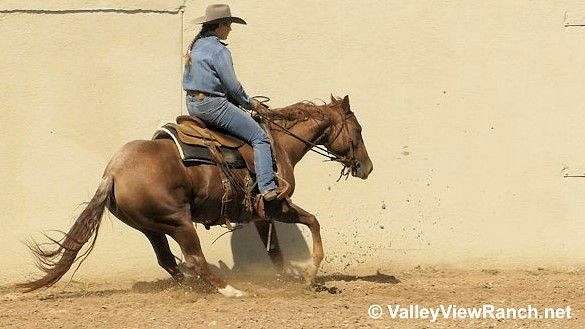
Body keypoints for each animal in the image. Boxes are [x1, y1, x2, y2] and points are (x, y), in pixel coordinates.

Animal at [21, 93, 374, 296]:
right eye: (358, 130)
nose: (366, 166)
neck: (277, 143)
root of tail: (114, 172)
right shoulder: (274, 206)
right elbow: (312, 222)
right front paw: (309, 274)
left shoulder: (261, 214)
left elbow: (277, 248)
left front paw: (291, 274)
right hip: (179, 222)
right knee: (194, 259)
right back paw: (228, 289)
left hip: (152, 227)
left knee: (168, 260)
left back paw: (192, 285)